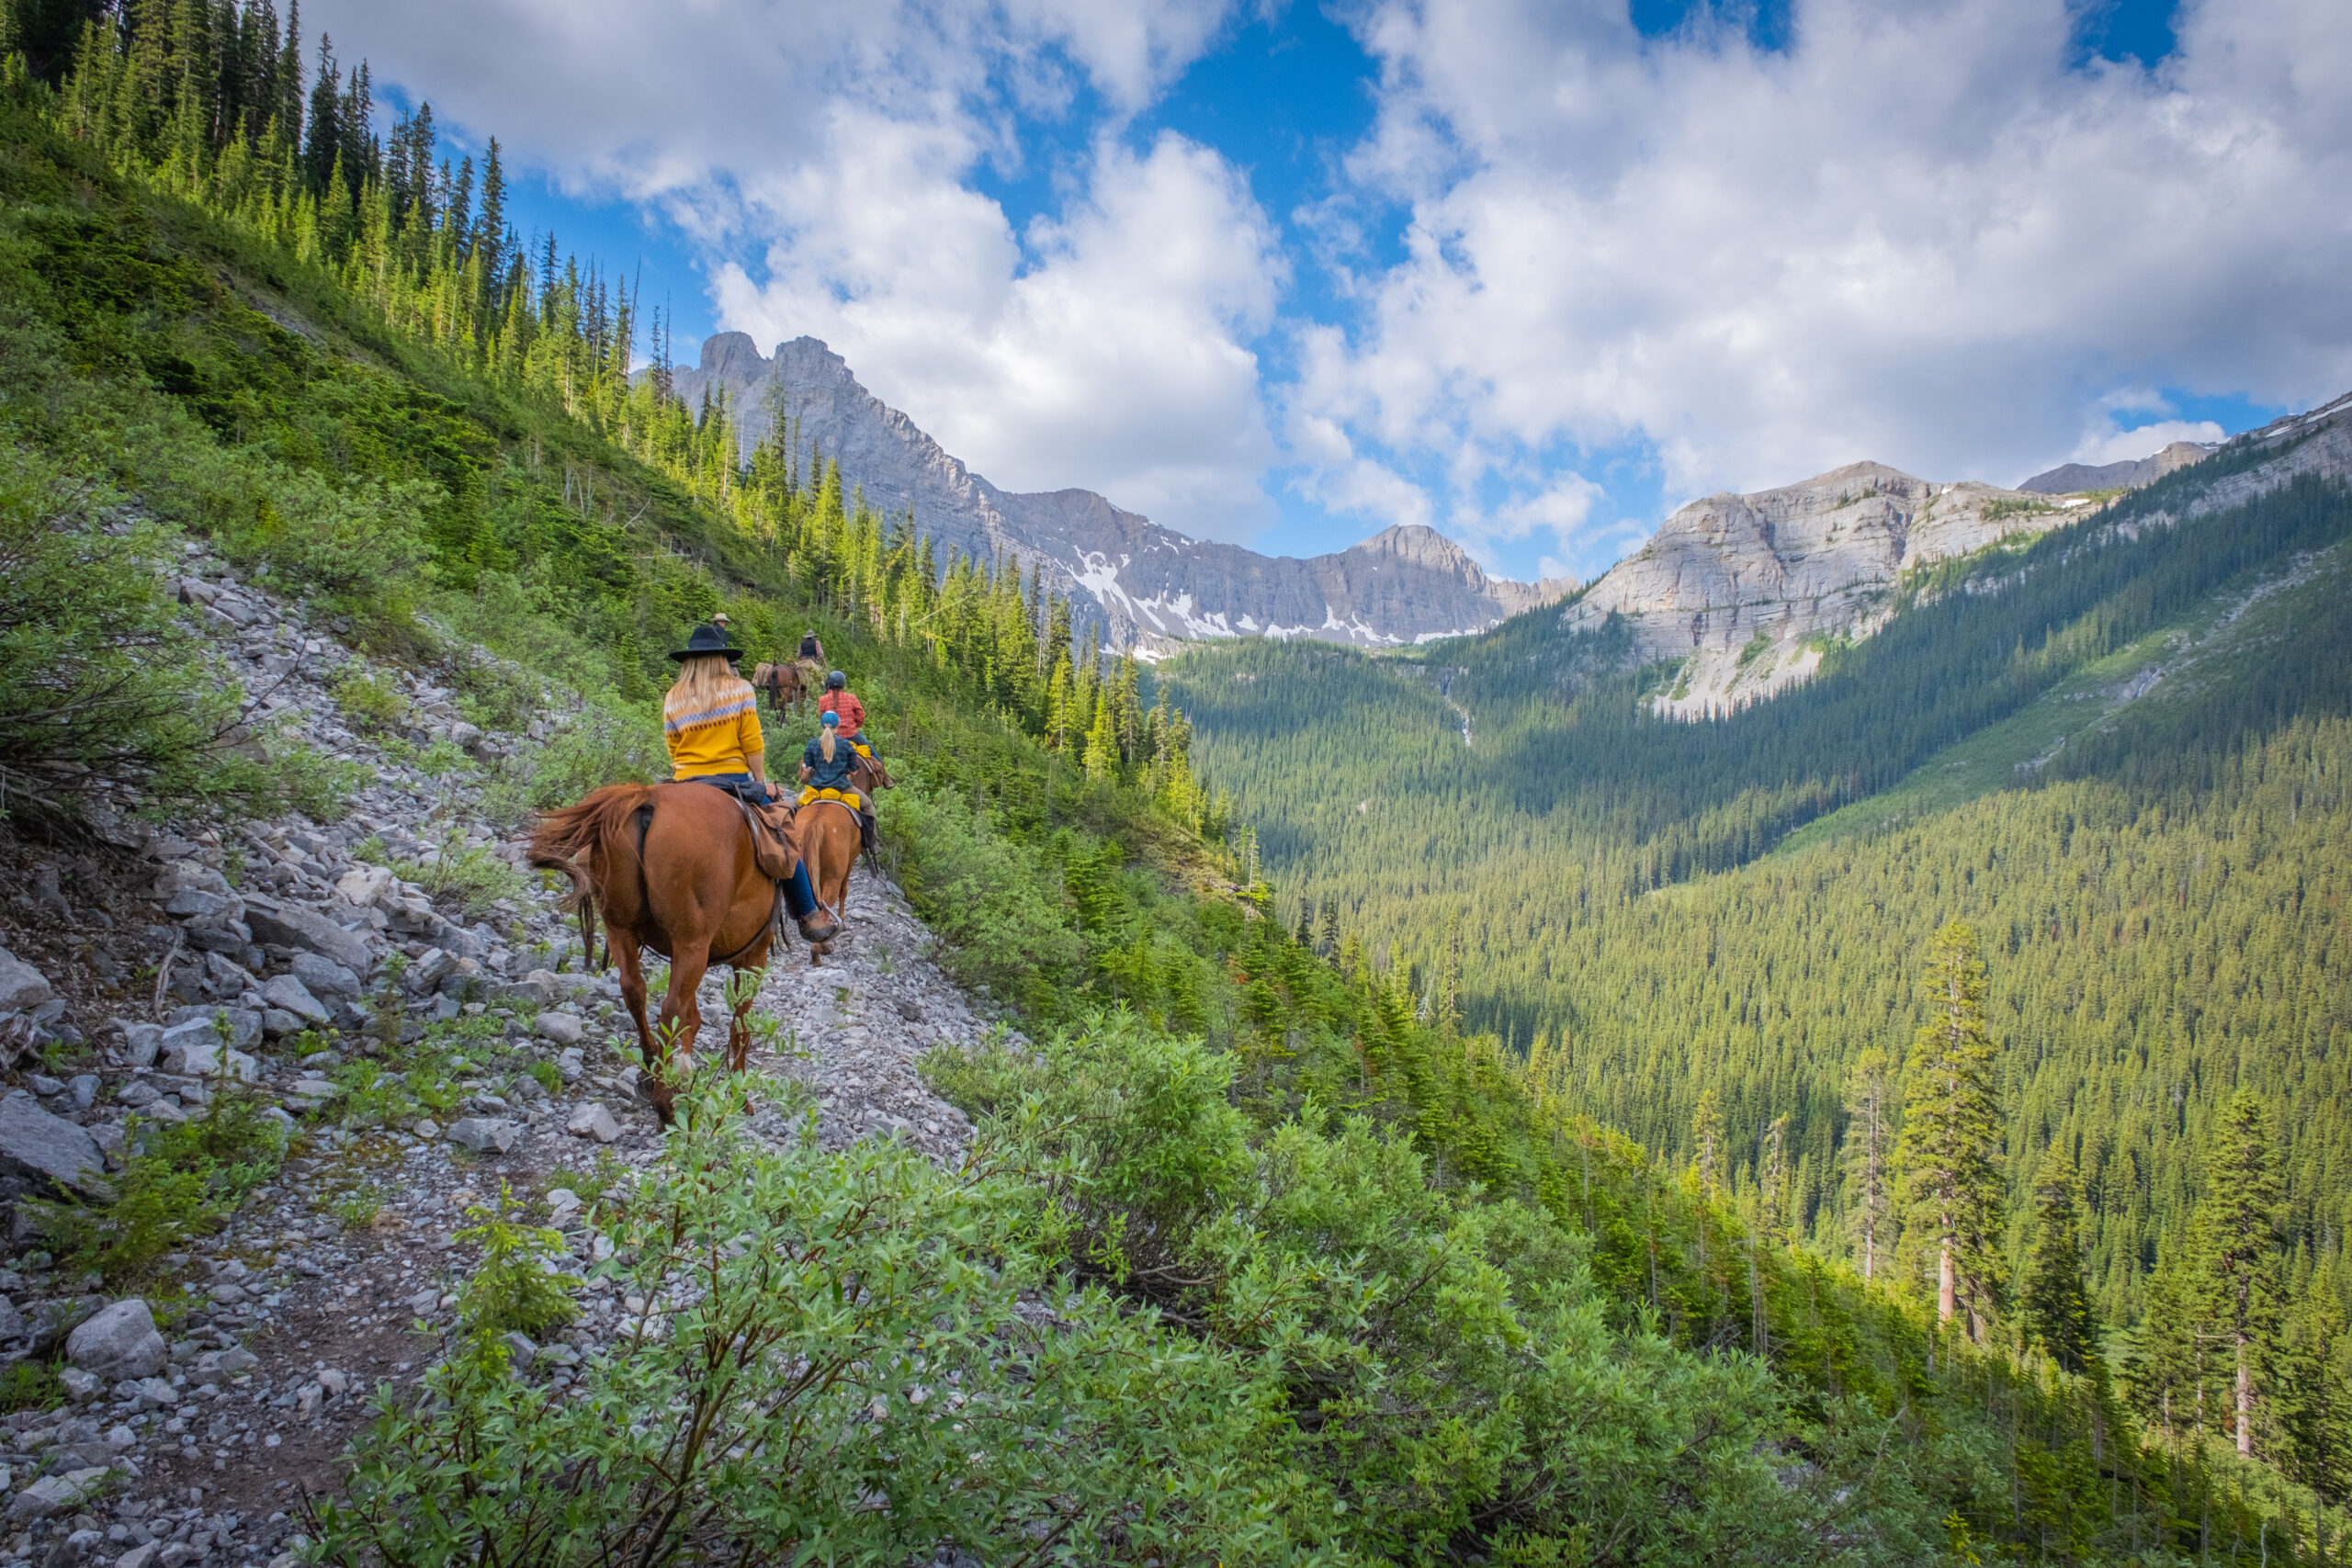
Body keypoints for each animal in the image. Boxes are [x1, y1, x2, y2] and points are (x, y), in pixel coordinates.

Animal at [529, 780, 804, 1123]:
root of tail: (649, 798)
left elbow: (693, 1017)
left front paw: (685, 1075)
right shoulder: (752, 956)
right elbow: (738, 1024)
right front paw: (738, 1094)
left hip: (621, 931)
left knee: (634, 990)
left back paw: (651, 1070)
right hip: (692, 942)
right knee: (669, 1007)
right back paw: (664, 1101)